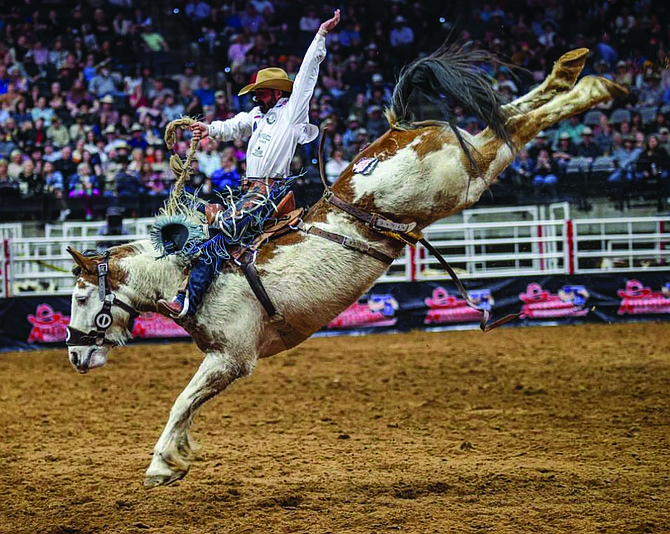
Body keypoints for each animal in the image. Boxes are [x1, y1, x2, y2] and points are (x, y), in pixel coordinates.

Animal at [65, 47, 628, 490]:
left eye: (79, 296)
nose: (73, 355)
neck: (189, 275)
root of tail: (397, 133)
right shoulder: (222, 359)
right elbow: (188, 406)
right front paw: (178, 458)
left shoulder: (233, 358)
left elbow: (182, 401)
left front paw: (162, 464)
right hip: (461, 162)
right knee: (506, 116)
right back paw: (574, 72)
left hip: (463, 179)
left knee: (511, 130)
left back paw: (597, 86)